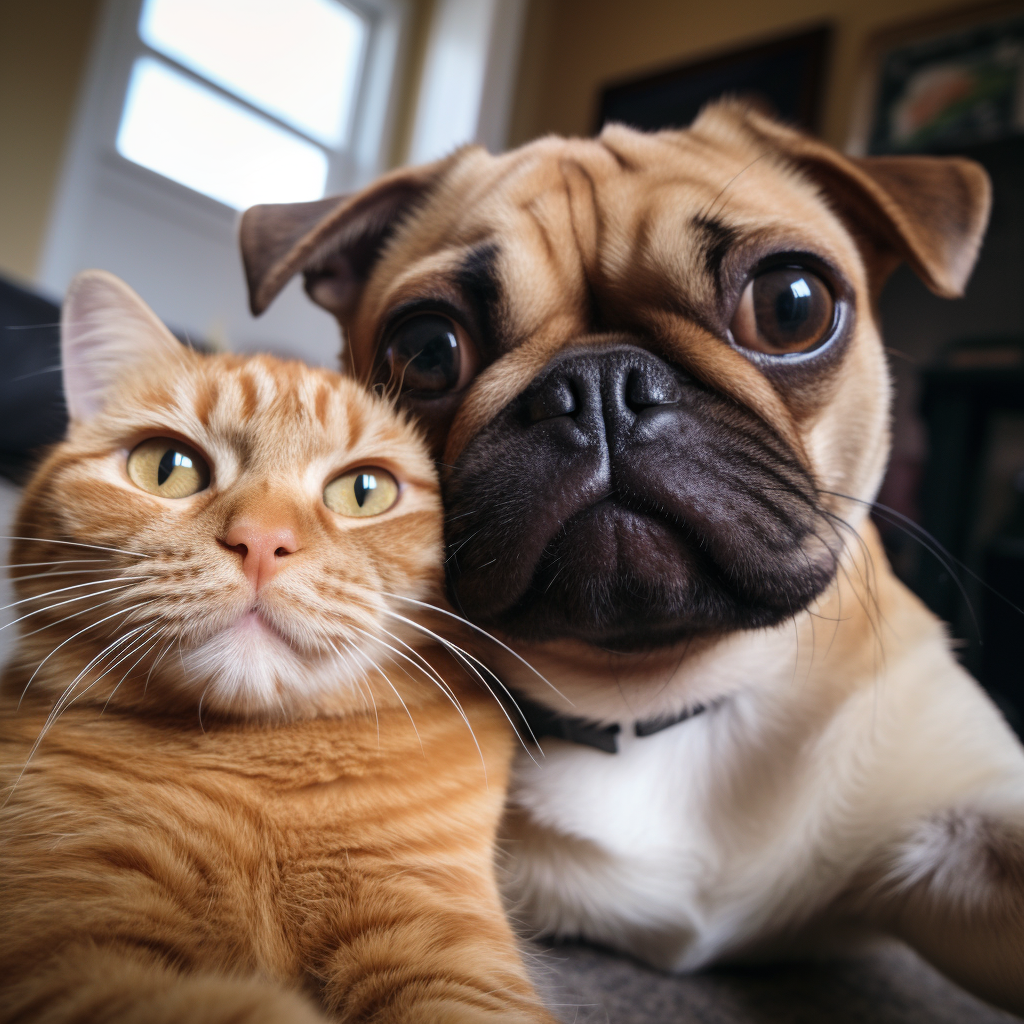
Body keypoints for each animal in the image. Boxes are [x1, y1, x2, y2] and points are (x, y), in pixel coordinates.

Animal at [0, 272, 552, 1024]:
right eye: (166, 467)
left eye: (363, 491)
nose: (261, 540)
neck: (260, 784)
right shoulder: (67, 952)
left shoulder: (445, 945)